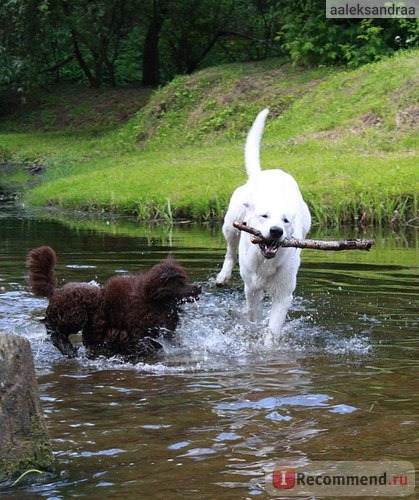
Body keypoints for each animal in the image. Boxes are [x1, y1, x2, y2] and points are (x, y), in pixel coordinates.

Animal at [217, 111, 312, 334]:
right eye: (264, 216)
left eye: (285, 221)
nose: (276, 231)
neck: (266, 260)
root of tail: (264, 173)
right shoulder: (252, 289)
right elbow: (252, 317)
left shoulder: (284, 294)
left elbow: (273, 330)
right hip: (231, 223)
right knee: (230, 250)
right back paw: (223, 276)